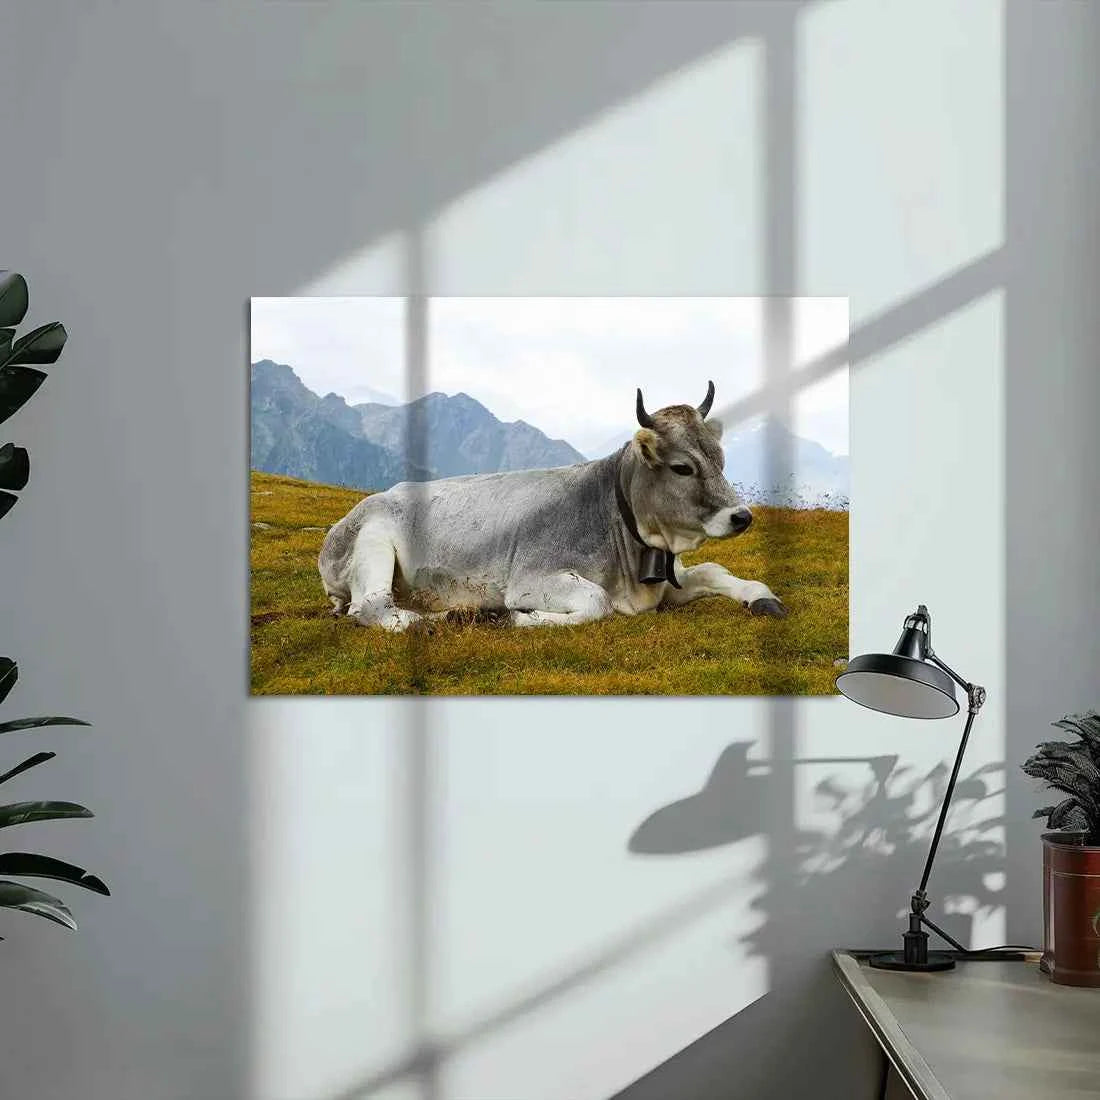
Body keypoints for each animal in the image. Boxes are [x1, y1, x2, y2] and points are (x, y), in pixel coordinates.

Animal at [318, 382, 787, 631]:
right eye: (682, 468)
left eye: (720, 459)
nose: (742, 516)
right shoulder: (531, 577)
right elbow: (597, 602)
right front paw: (521, 619)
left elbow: (714, 570)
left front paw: (761, 597)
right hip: (373, 543)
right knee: (372, 606)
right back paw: (447, 617)